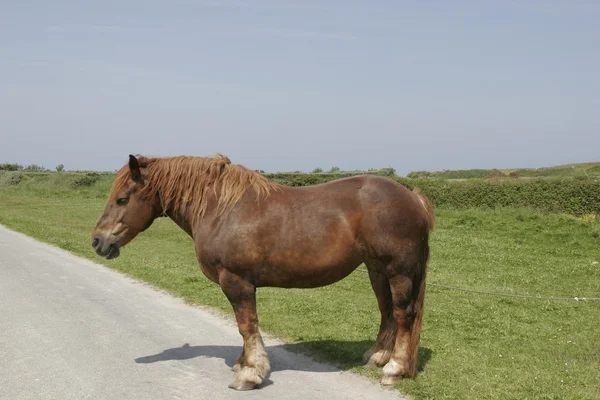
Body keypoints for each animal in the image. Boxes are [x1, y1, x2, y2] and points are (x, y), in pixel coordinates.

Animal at [91, 153, 434, 390]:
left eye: (122, 199)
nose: (97, 241)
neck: (221, 209)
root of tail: (412, 197)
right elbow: (245, 328)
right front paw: (244, 363)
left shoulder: (237, 281)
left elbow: (247, 325)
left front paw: (250, 373)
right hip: (377, 270)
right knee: (387, 311)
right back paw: (377, 357)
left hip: (398, 271)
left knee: (404, 314)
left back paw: (394, 369)